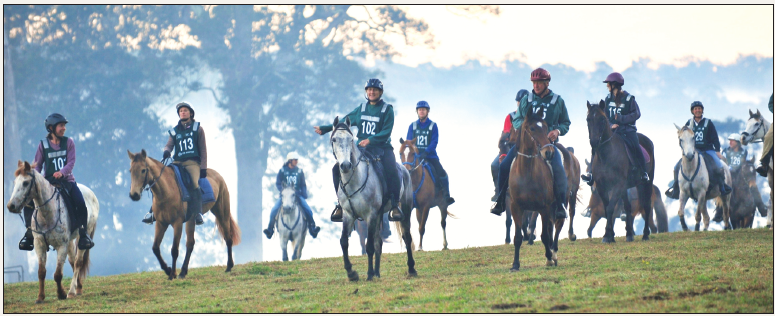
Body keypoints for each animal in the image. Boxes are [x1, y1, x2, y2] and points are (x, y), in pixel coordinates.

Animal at [5, 162, 99, 302]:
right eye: (15, 182)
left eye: (26, 183)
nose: (11, 206)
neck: (47, 213)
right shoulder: (39, 245)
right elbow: (41, 272)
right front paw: (40, 297)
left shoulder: (61, 246)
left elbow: (58, 274)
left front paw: (61, 294)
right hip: (70, 241)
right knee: (72, 261)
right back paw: (78, 287)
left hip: (84, 235)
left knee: (78, 262)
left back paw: (72, 291)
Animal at [126, 149, 241, 278]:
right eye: (130, 171)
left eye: (143, 170)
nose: (134, 195)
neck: (166, 191)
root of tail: (218, 175)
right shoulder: (161, 223)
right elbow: (155, 248)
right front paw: (167, 270)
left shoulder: (177, 223)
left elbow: (174, 250)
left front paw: (172, 274)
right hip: (191, 220)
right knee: (190, 243)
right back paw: (183, 271)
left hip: (222, 212)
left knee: (228, 238)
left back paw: (229, 266)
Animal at [328, 115, 416, 278]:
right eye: (334, 139)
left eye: (351, 139)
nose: (345, 165)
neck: (355, 181)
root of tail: (405, 170)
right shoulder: (349, 214)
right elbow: (344, 242)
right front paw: (351, 273)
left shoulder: (371, 214)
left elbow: (369, 246)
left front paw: (368, 274)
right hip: (379, 214)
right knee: (378, 242)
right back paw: (377, 273)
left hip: (405, 209)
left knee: (406, 237)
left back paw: (411, 269)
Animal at [506, 106, 568, 270]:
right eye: (532, 128)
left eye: (546, 128)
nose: (549, 153)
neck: (526, 173)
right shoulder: (516, 207)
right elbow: (518, 237)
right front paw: (515, 264)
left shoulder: (543, 208)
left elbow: (545, 235)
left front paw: (549, 258)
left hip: (558, 205)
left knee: (557, 227)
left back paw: (553, 255)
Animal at [588, 100, 656, 243]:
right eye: (588, 119)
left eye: (602, 119)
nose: (594, 142)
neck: (606, 155)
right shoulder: (602, 187)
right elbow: (608, 208)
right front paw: (609, 235)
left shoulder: (617, 185)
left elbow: (610, 208)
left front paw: (607, 236)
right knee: (628, 207)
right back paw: (629, 234)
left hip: (646, 183)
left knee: (646, 206)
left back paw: (645, 235)